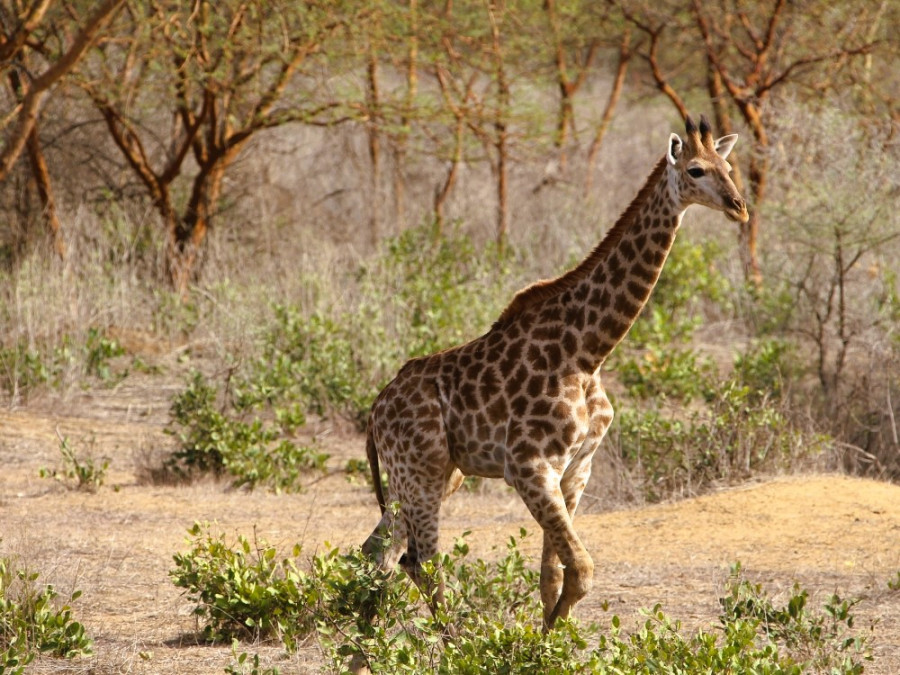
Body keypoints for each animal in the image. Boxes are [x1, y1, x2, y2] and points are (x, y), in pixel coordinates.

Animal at [361, 114, 749, 630]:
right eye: (696, 170)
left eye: (729, 167)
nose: (739, 207)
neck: (587, 353)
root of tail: (375, 409)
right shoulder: (528, 466)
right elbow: (581, 570)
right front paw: (537, 641)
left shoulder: (576, 468)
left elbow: (553, 575)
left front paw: (548, 640)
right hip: (419, 470)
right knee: (421, 561)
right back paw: (454, 641)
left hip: (438, 474)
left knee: (379, 550)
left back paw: (361, 641)